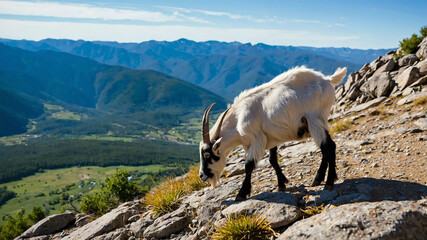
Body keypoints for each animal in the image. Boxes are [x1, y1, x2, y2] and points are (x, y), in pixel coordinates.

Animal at [199, 65, 346, 201]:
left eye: (207, 155)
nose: (201, 176)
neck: (238, 116)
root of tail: (327, 79)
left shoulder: (256, 139)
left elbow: (248, 165)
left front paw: (241, 194)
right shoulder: (271, 137)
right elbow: (272, 160)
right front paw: (282, 184)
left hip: (314, 119)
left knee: (328, 146)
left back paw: (328, 182)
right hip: (319, 121)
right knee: (326, 148)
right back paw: (319, 179)